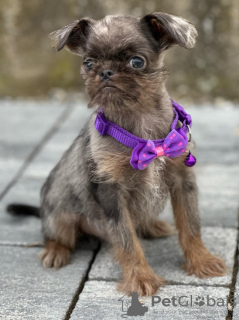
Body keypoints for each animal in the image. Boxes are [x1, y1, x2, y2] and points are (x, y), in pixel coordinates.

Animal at [7, 13, 227, 298]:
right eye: (88, 63)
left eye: (137, 62)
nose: (105, 72)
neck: (140, 120)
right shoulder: (111, 193)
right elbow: (126, 240)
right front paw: (140, 278)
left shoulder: (183, 180)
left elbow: (191, 226)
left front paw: (202, 261)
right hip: (60, 214)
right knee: (57, 234)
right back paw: (55, 251)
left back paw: (152, 225)